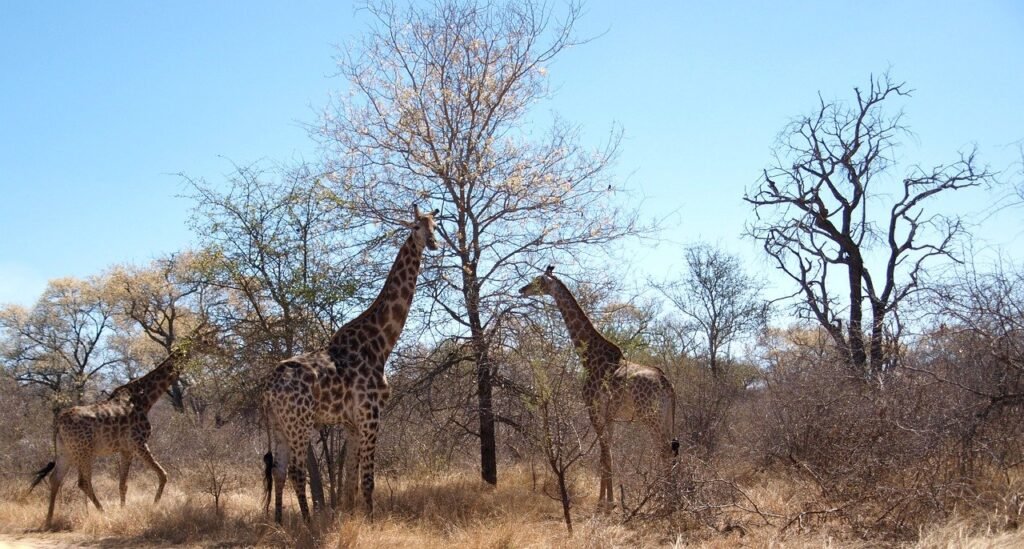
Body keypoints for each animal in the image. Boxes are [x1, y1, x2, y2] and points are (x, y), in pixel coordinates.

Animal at [29, 331, 207, 528]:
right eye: (206, 340)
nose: (217, 347)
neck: (145, 400)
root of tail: (58, 423)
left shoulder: (126, 449)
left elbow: (123, 483)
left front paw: (124, 509)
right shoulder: (139, 443)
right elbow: (163, 474)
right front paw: (154, 506)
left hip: (65, 451)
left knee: (55, 479)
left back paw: (48, 520)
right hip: (84, 451)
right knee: (83, 482)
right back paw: (102, 513)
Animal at [262, 203, 438, 520]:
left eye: (436, 226)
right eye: (416, 226)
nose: (433, 243)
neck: (381, 344)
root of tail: (267, 391)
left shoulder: (352, 424)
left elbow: (350, 482)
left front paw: (354, 518)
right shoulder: (370, 415)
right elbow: (367, 480)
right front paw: (370, 521)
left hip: (280, 425)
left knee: (279, 471)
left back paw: (279, 523)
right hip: (299, 424)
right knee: (296, 472)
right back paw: (308, 523)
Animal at [520, 264, 679, 505]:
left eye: (538, 280)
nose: (522, 290)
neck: (588, 356)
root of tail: (667, 385)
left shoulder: (593, 407)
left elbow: (604, 453)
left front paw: (605, 503)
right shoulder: (610, 414)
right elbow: (608, 452)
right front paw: (607, 499)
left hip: (649, 415)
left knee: (663, 450)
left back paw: (665, 500)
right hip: (666, 416)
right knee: (671, 449)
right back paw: (673, 499)